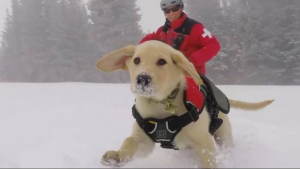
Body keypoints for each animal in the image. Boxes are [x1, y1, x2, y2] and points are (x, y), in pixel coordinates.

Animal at [96, 40, 274, 168]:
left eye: (162, 61)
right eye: (136, 60)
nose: (142, 79)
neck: (161, 105)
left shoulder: (203, 140)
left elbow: (209, 161)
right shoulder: (143, 139)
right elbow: (130, 141)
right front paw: (118, 156)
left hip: (223, 135)